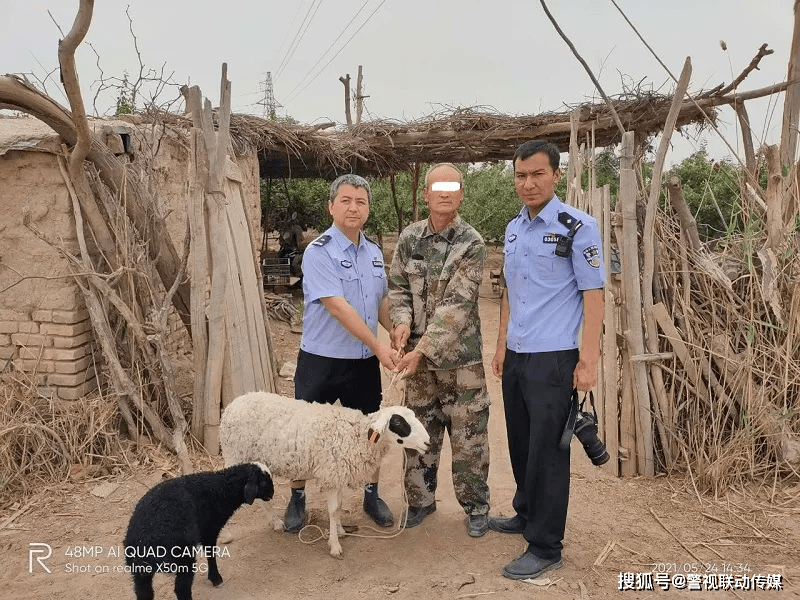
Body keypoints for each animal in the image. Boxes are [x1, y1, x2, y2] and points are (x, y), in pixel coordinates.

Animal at [123, 462, 274, 596]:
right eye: (262, 483)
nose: (272, 493)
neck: (222, 488)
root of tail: (146, 543)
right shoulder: (209, 529)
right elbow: (211, 553)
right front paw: (216, 579)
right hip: (183, 558)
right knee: (181, 588)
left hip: (140, 571)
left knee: (144, 593)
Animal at [219, 390, 432, 556]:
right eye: (398, 422)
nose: (428, 443)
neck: (356, 435)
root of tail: (232, 406)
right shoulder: (331, 473)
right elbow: (332, 510)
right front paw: (335, 545)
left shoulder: (338, 474)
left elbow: (338, 507)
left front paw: (340, 530)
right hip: (235, 454)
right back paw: (225, 535)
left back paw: (276, 523)